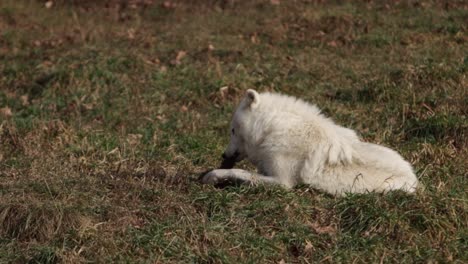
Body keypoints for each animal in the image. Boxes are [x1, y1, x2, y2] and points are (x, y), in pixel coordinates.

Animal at [200, 89, 416, 195]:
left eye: (232, 130)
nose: (224, 155)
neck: (273, 128)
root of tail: (416, 182)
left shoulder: (282, 182)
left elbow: (240, 172)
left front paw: (212, 175)